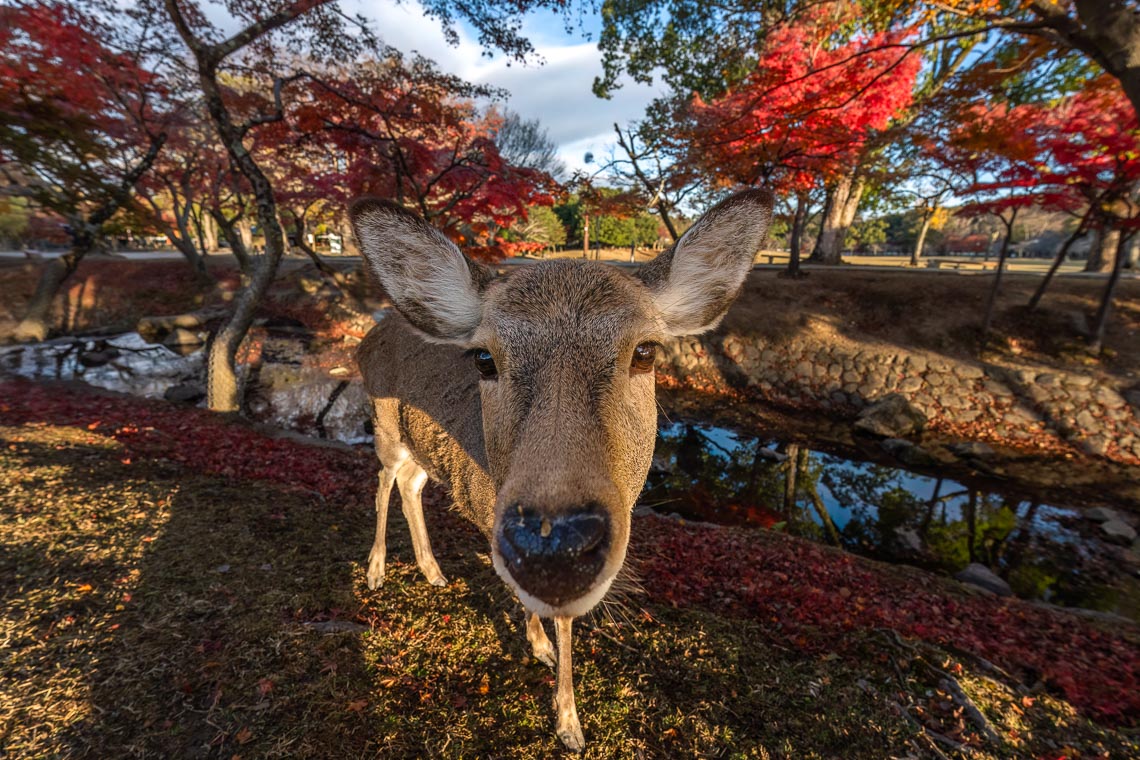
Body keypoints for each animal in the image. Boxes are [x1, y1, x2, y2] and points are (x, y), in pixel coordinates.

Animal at [348, 189, 775, 747]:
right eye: (483, 358)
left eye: (646, 351)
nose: (552, 546)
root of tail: (365, 338)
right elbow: (543, 609)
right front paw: (566, 712)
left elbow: (557, 616)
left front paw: (561, 700)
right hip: (385, 426)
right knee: (382, 480)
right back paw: (376, 571)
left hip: (420, 449)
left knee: (409, 484)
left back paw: (434, 572)